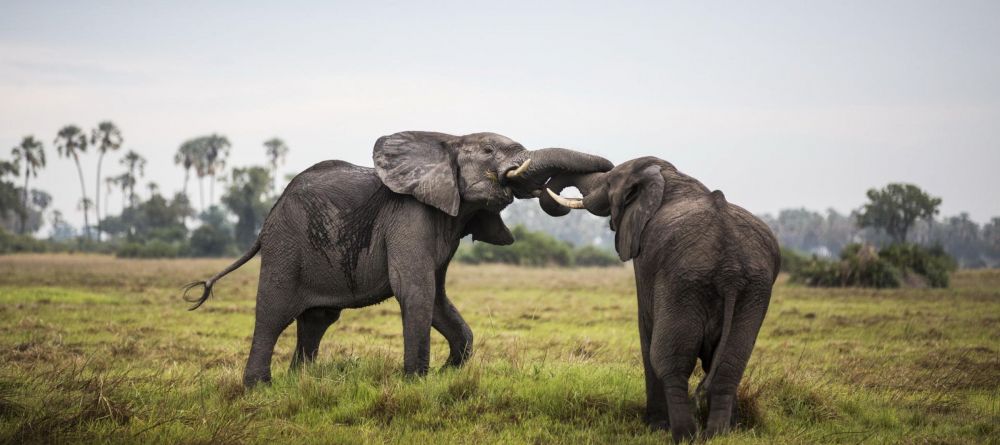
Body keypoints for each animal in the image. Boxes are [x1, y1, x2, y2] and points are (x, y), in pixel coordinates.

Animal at [184, 130, 612, 386]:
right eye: (489, 151)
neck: (447, 141)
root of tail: (267, 220)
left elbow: (436, 297)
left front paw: (445, 374)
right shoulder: (409, 216)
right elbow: (415, 291)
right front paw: (417, 383)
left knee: (317, 320)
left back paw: (300, 382)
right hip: (285, 244)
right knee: (273, 312)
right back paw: (260, 387)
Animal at [544, 156, 776, 440]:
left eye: (609, 182)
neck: (669, 178)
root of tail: (730, 270)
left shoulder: (645, 259)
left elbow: (647, 331)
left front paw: (654, 426)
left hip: (684, 284)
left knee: (671, 360)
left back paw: (683, 435)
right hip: (752, 292)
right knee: (730, 364)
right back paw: (718, 435)